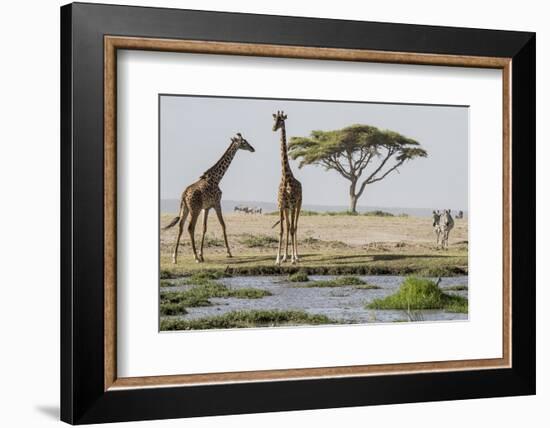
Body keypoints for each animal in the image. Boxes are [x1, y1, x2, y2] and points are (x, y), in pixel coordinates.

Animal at [164, 132, 256, 262]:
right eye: (244, 142)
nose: (252, 148)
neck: (217, 178)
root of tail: (184, 194)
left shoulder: (206, 208)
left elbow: (204, 228)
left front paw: (202, 254)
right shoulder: (217, 203)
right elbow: (223, 224)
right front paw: (229, 252)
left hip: (185, 209)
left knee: (180, 227)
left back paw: (174, 258)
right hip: (194, 210)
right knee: (190, 228)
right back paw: (195, 257)